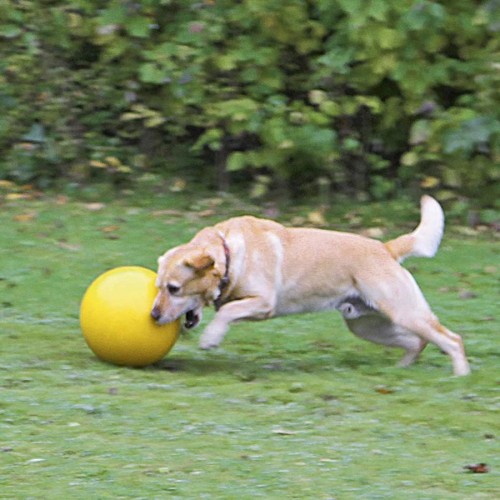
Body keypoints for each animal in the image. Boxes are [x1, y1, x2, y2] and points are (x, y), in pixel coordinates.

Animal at [151, 195, 468, 376]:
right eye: (158, 286)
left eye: (174, 288)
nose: (153, 316)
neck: (230, 253)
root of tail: (386, 248)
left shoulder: (263, 303)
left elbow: (227, 312)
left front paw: (211, 338)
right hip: (365, 324)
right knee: (419, 341)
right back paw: (400, 370)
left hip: (403, 312)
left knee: (452, 339)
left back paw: (461, 375)